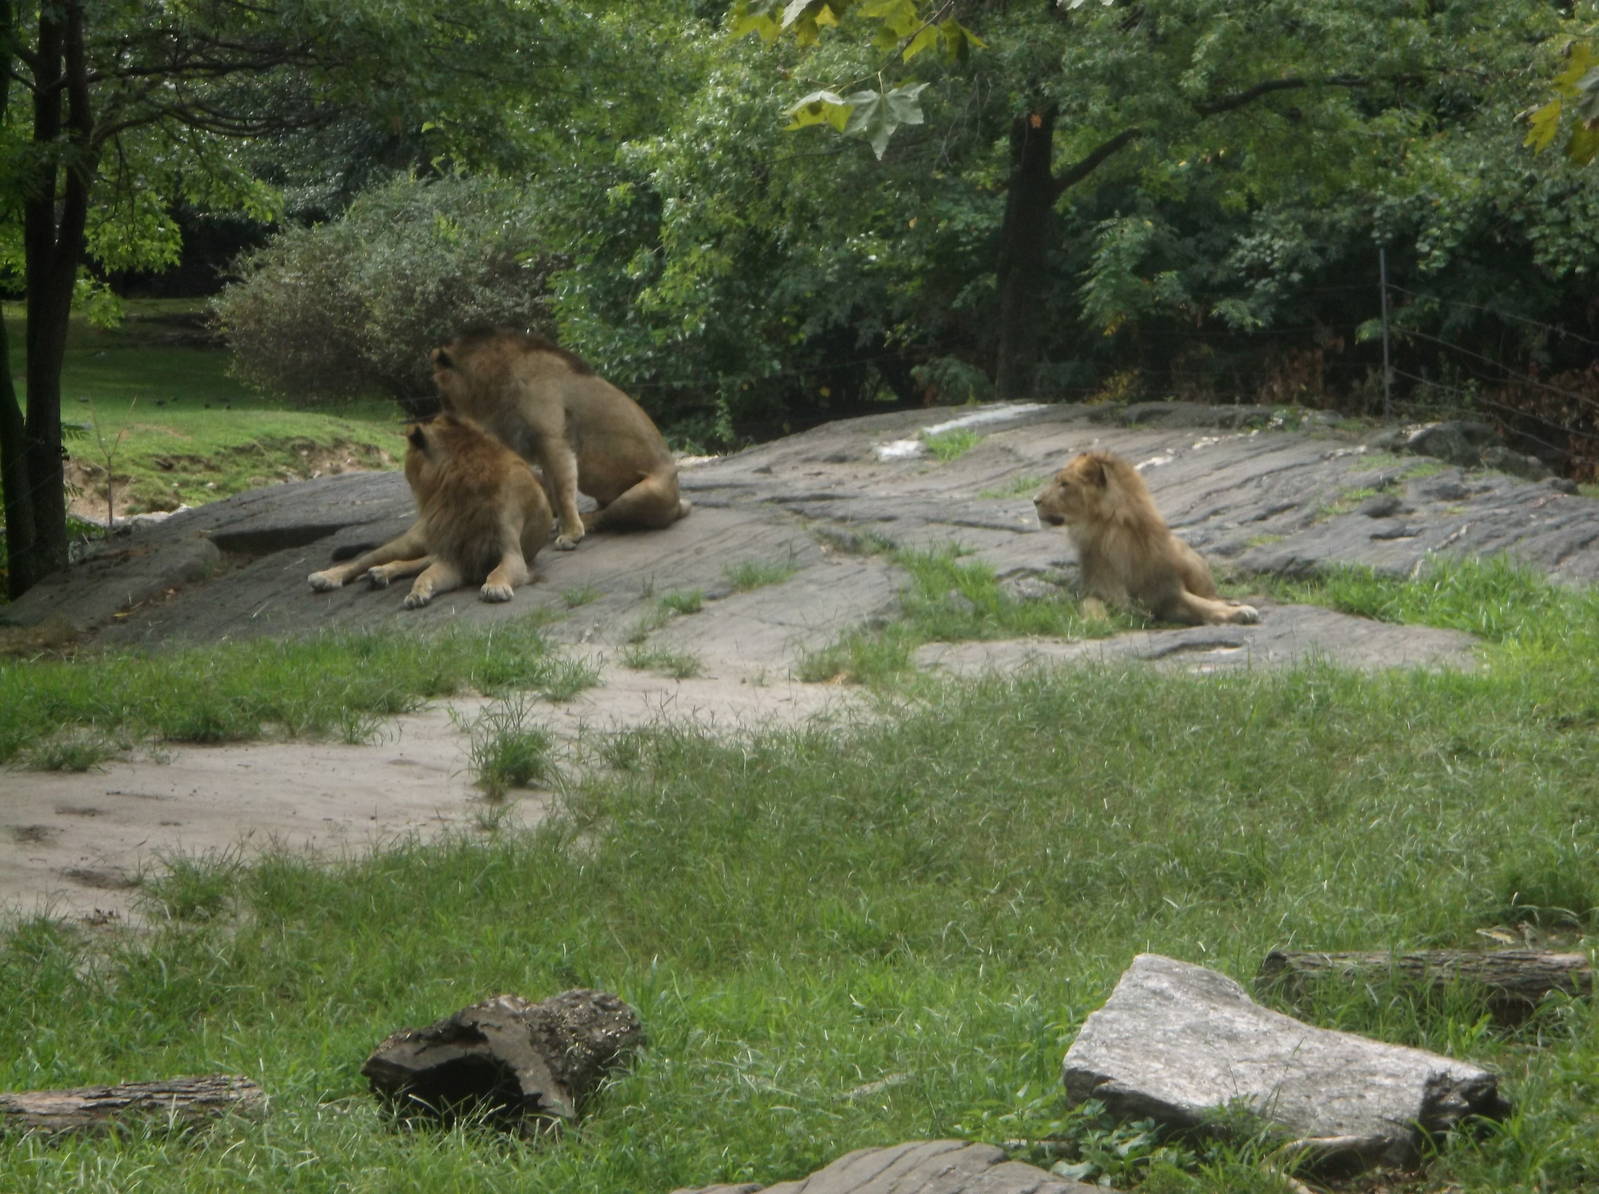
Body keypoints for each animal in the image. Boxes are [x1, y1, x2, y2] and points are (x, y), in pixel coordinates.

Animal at [307, 412, 552, 609]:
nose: (406, 476)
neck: (459, 491)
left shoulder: (510, 553)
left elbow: (498, 571)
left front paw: (495, 588)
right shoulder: (455, 556)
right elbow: (427, 575)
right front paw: (417, 593)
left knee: (412, 563)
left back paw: (380, 573)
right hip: (413, 541)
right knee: (363, 561)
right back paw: (327, 577)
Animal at [430, 328, 690, 550]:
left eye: (442, 395)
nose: (443, 417)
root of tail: (678, 505)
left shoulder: (554, 441)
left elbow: (563, 491)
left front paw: (571, 533)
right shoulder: (536, 447)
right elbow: (552, 488)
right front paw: (559, 522)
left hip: (647, 492)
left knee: (609, 515)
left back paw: (585, 523)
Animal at [1033, 451, 1259, 626]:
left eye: (1064, 484)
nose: (1035, 500)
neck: (1110, 536)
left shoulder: (1167, 592)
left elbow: (1203, 605)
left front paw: (1241, 612)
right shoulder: (1097, 591)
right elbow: (1091, 605)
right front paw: (1095, 621)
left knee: (1212, 595)